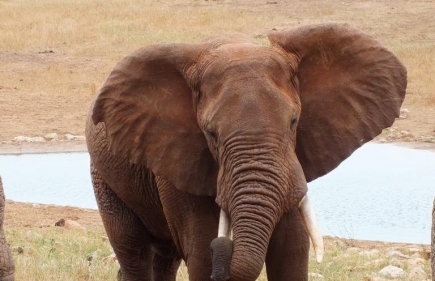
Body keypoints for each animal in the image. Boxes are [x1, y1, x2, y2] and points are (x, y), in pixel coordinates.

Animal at [86, 22, 408, 280]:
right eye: (211, 134)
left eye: (294, 122)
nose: (224, 247)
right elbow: (201, 253)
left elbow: (292, 250)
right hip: (104, 178)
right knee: (133, 251)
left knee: (164, 258)